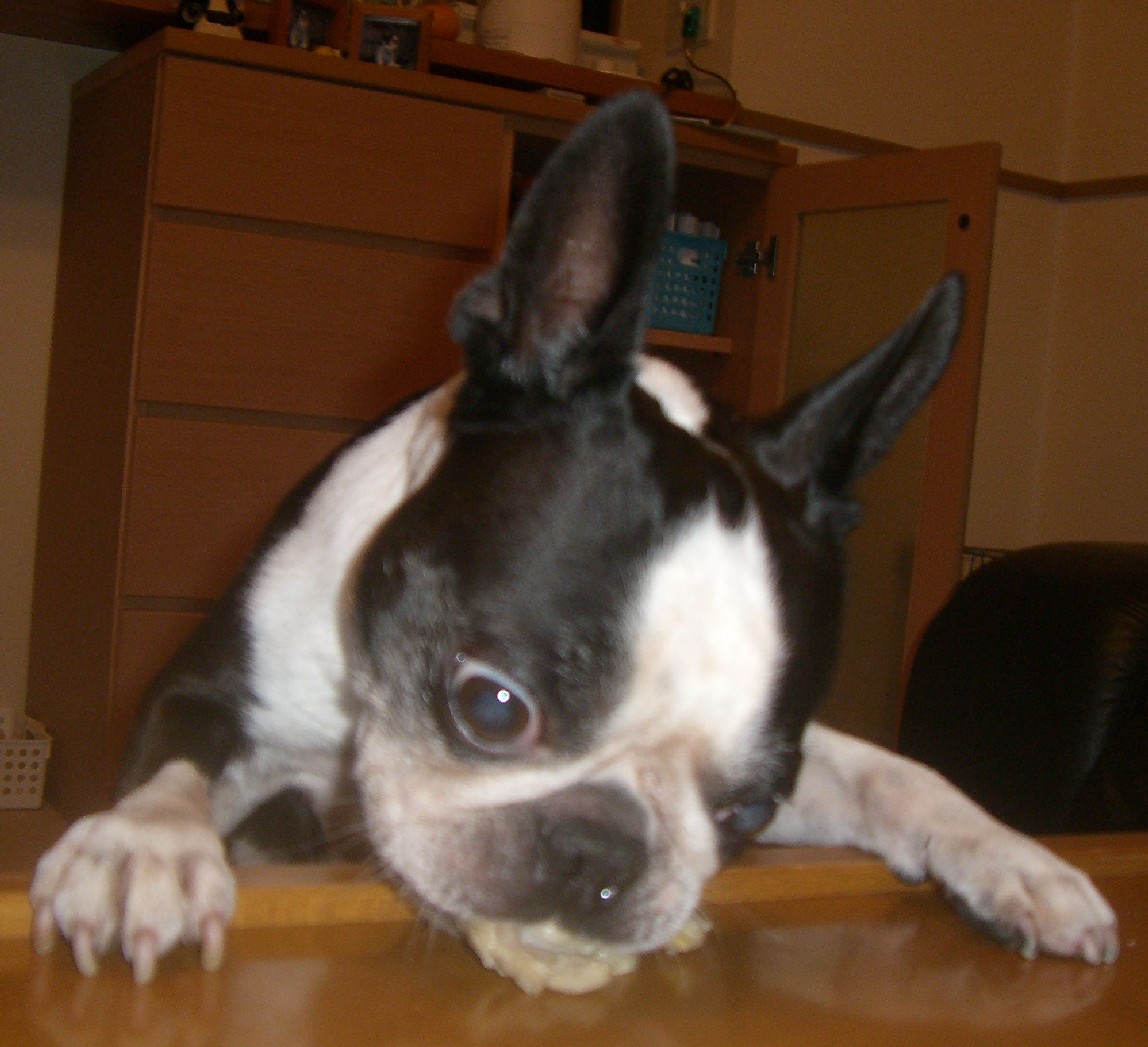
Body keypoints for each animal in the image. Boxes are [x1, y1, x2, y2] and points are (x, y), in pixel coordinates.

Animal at [31, 92, 1118, 989]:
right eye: (491, 707)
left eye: (749, 815)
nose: (598, 853)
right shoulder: (211, 684)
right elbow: (177, 753)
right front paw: (141, 847)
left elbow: (892, 770)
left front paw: (1012, 855)